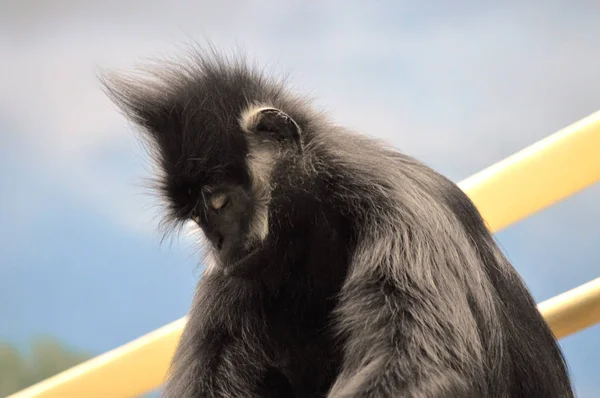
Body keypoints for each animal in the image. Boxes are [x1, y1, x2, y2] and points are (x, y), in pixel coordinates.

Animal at [104, 50, 576, 398]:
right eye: (198, 219)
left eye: (219, 203)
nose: (219, 242)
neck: (316, 229)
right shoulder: (229, 278)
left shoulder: (398, 210)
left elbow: (430, 366)